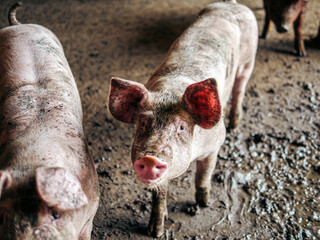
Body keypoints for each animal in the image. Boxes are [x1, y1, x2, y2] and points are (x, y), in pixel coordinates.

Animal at [107, 0, 258, 237]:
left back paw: (235, 124)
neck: (170, 90)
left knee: (240, 88)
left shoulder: (215, 144)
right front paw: (154, 231)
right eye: (143, 123)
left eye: (181, 127)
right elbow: (159, 195)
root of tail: (231, 4)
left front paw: (204, 204)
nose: (149, 158)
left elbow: (203, 176)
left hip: (248, 59)